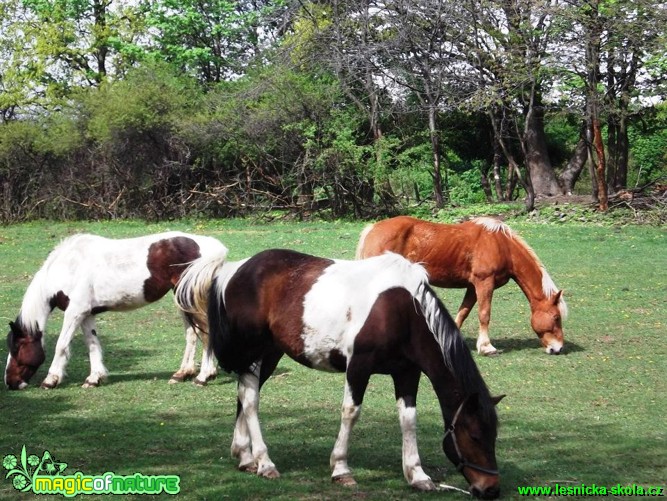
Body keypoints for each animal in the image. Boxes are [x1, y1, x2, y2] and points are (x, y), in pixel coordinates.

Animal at [2, 231, 227, 390]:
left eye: (17, 348)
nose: (10, 382)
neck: (68, 268)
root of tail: (212, 246)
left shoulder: (74, 312)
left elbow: (61, 345)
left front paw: (51, 379)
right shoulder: (87, 314)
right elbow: (92, 344)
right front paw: (94, 378)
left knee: (205, 333)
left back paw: (203, 376)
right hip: (181, 299)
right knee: (191, 334)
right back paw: (182, 374)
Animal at [175, 247, 504, 496]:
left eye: (494, 436)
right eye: (475, 436)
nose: (491, 488)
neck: (402, 310)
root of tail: (234, 270)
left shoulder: (407, 373)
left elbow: (408, 420)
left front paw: (417, 475)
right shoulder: (358, 366)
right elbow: (351, 412)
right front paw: (341, 469)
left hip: (269, 354)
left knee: (243, 396)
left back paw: (245, 457)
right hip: (254, 353)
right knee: (251, 400)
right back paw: (265, 462)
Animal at [354, 217, 568, 354]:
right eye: (556, 318)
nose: (558, 348)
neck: (501, 245)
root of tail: (372, 229)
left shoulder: (473, 287)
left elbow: (462, 313)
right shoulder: (484, 283)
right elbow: (484, 314)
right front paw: (486, 347)